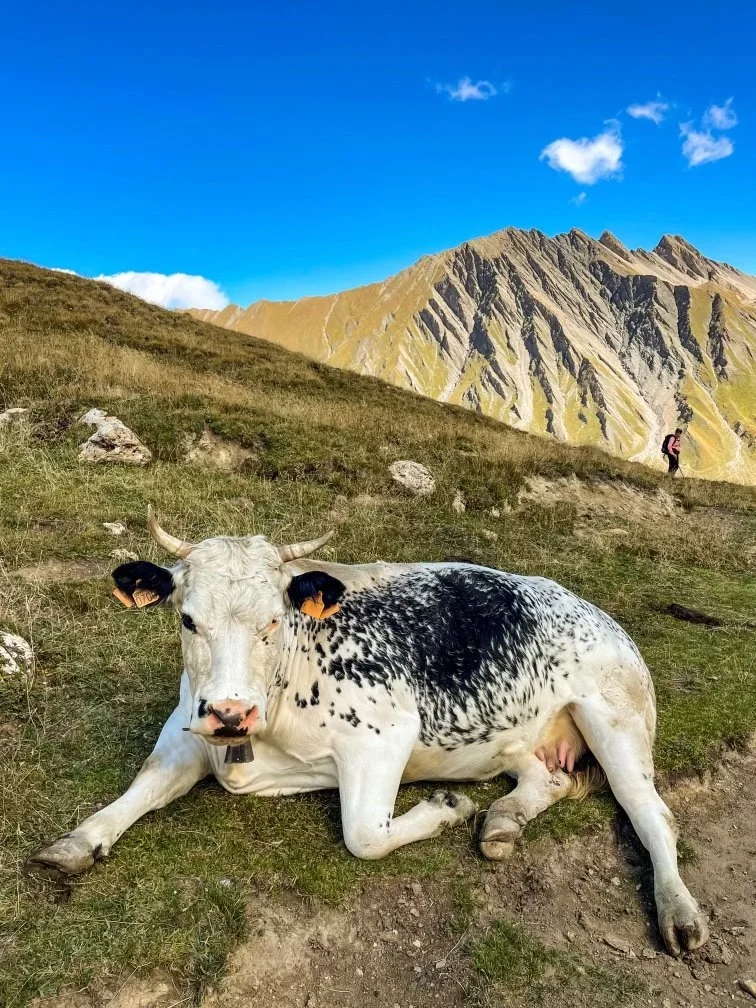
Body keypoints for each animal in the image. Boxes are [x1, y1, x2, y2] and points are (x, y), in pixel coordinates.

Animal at [29, 508, 709, 957]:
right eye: (188, 619)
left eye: (273, 620)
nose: (230, 712)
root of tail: (592, 608)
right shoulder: (188, 726)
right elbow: (143, 784)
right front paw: (80, 839)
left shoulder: (385, 733)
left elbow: (364, 836)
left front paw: (445, 807)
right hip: (521, 737)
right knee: (545, 778)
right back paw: (503, 822)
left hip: (614, 715)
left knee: (651, 812)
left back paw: (679, 913)